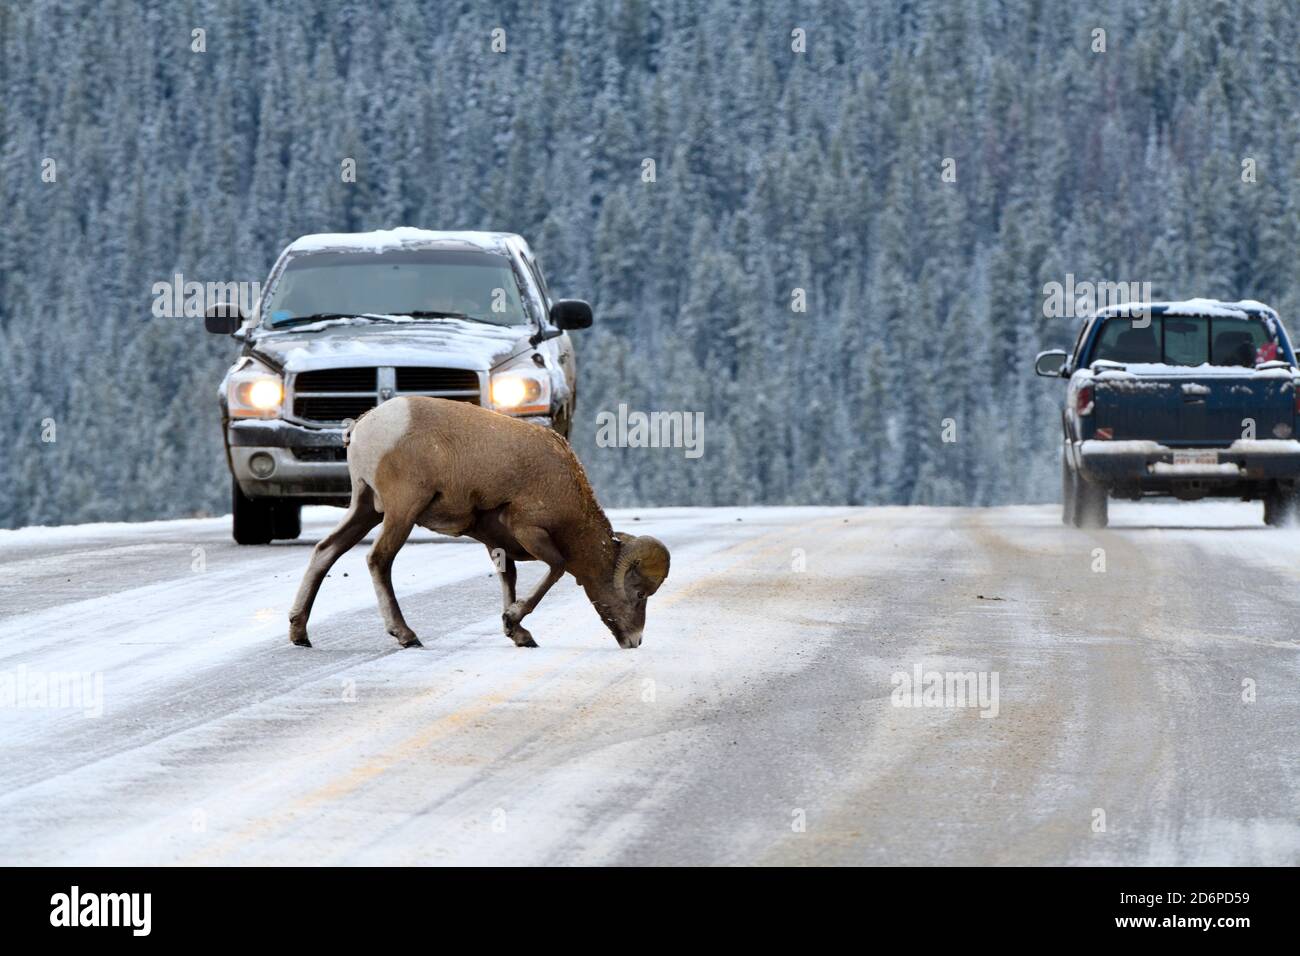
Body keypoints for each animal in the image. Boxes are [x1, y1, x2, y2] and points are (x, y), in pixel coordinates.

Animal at [286, 395, 670, 650]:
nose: (635, 640)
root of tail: (364, 427)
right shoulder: (530, 532)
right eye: (639, 593)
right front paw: (513, 620)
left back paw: (299, 633)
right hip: (401, 511)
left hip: (366, 508)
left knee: (326, 551)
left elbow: (508, 578)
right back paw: (406, 635)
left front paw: (519, 635)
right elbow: (557, 568)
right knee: (378, 560)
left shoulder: (496, 542)